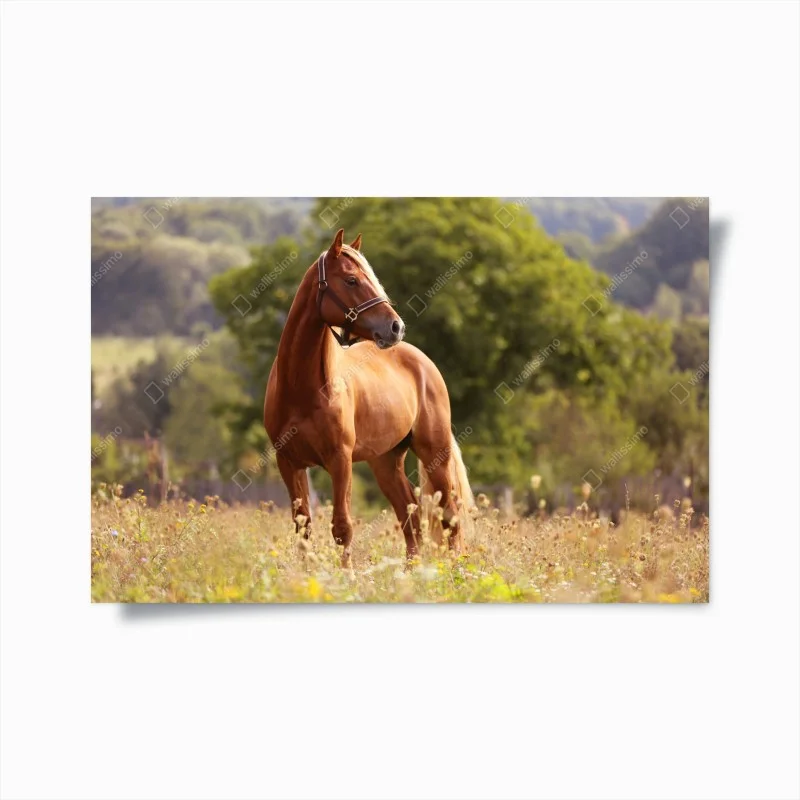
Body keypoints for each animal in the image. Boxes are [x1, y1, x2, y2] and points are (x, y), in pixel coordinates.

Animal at [264, 228, 474, 566]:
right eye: (351, 280)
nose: (395, 327)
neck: (302, 389)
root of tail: (422, 361)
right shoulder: (289, 462)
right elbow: (303, 529)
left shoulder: (340, 460)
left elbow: (342, 527)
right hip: (385, 462)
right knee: (410, 519)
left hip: (434, 454)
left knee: (449, 517)